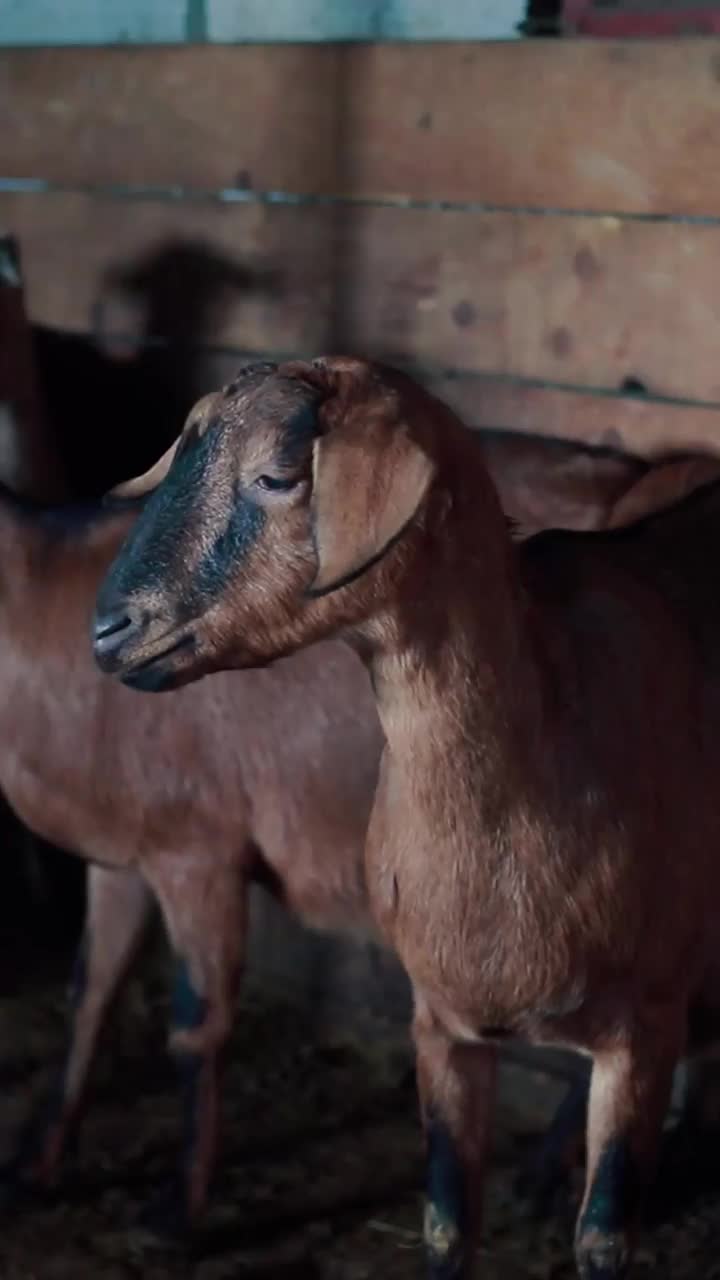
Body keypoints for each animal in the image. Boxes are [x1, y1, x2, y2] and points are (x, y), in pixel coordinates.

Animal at [94, 355, 720, 1274]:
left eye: (279, 475)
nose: (108, 631)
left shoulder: (645, 1025)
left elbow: (603, 1238)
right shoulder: (440, 1026)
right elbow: (445, 1224)